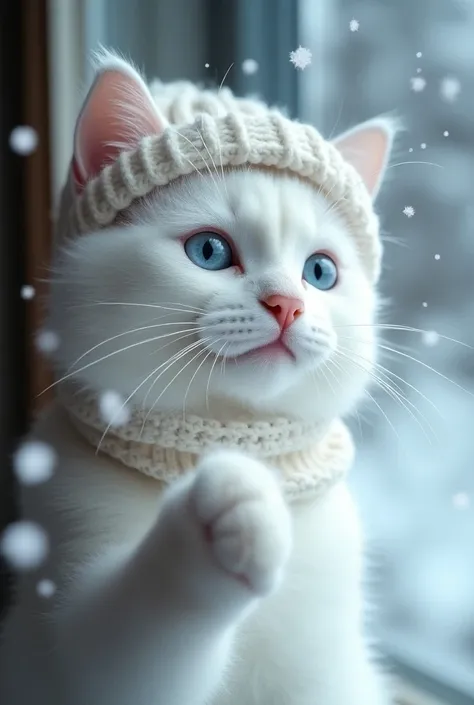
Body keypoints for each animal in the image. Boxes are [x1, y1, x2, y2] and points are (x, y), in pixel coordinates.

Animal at [0, 53, 396, 704]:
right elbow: (126, 646)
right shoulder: (62, 611)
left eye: (320, 272)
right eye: (209, 251)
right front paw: (228, 504)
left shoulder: (325, 664)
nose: (288, 304)